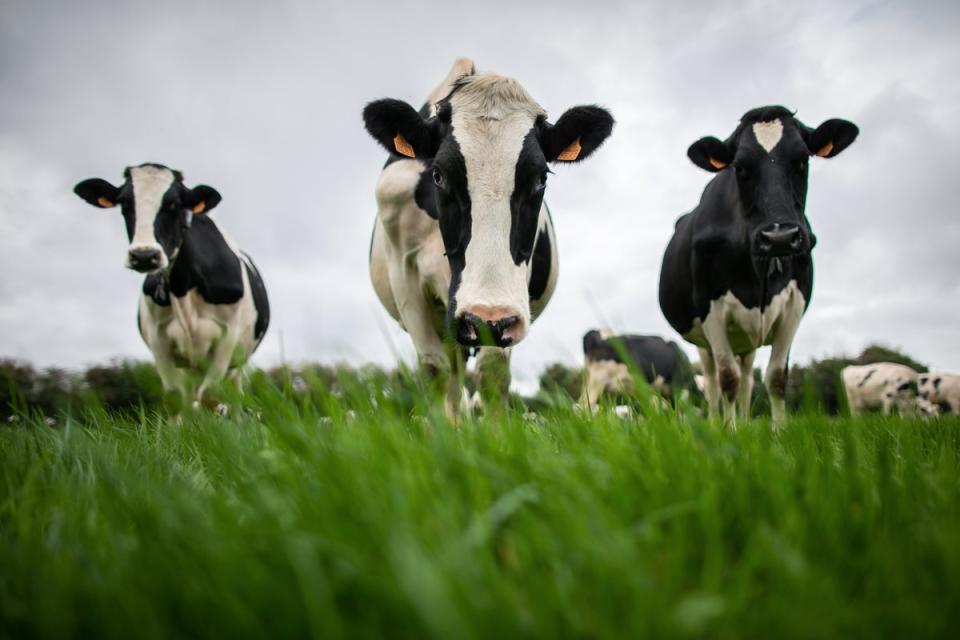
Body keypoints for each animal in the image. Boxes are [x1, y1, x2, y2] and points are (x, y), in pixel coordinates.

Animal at [72, 160, 268, 410]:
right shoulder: (159, 341)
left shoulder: (226, 338)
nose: (144, 256)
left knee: (230, 395)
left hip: (235, 361)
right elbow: (174, 398)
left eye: (174, 204)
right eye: (125, 203)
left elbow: (211, 396)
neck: (183, 287)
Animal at [360, 56, 616, 416]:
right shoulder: (405, 275)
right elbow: (435, 370)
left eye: (541, 178)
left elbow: (492, 373)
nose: (485, 318)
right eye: (437, 175)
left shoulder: (512, 298)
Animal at [656, 106, 860, 424]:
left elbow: (776, 378)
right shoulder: (711, 309)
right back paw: (717, 422)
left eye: (802, 160)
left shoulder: (794, 305)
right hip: (705, 341)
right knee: (714, 382)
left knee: (747, 380)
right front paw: (727, 432)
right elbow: (727, 378)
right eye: (740, 167)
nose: (779, 237)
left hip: (746, 341)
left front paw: (778, 432)